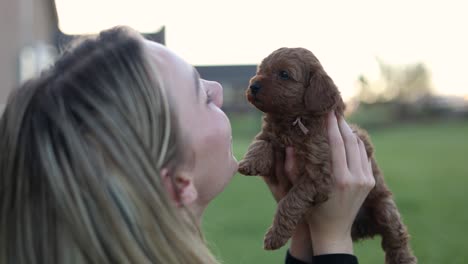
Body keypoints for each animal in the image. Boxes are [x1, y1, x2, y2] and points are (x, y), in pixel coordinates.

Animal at [238, 47, 416, 264]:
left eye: (284, 74)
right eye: (261, 70)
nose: (253, 85)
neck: (293, 120)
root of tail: (363, 229)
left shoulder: (318, 175)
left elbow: (290, 200)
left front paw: (275, 236)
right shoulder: (272, 134)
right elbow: (261, 141)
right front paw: (250, 162)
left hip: (386, 208)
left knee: (396, 238)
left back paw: (402, 258)